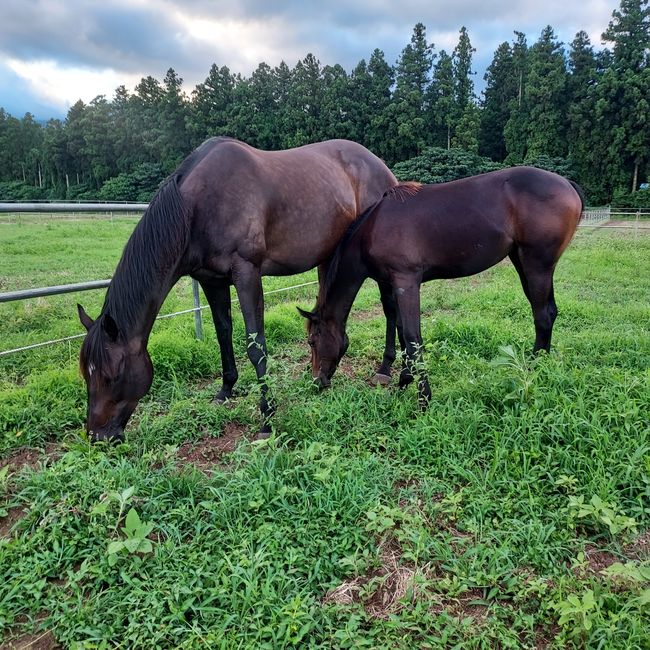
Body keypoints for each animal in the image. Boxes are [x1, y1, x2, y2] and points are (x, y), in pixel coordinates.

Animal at [76, 137, 394, 440]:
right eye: (86, 374)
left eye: (111, 375)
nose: (97, 436)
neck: (196, 208)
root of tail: (379, 165)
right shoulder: (212, 281)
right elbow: (223, 333)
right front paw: (225, 390)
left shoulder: (247, 273)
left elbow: (256, 345)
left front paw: (267, 418)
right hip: (328, 257)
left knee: (390, 309)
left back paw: (384, 370)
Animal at [298, 165, 584, 404]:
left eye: (312, 341)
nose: (317, 382)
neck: (373, 228)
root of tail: (567, 184)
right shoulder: (392, 284)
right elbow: (401, 330)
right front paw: (405, 379)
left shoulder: (406, 281)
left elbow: (412, 336)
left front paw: (424, 398)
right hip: (522, 261)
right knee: (548, 311)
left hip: (537, 265)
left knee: (542, 315)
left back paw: (534, 371)